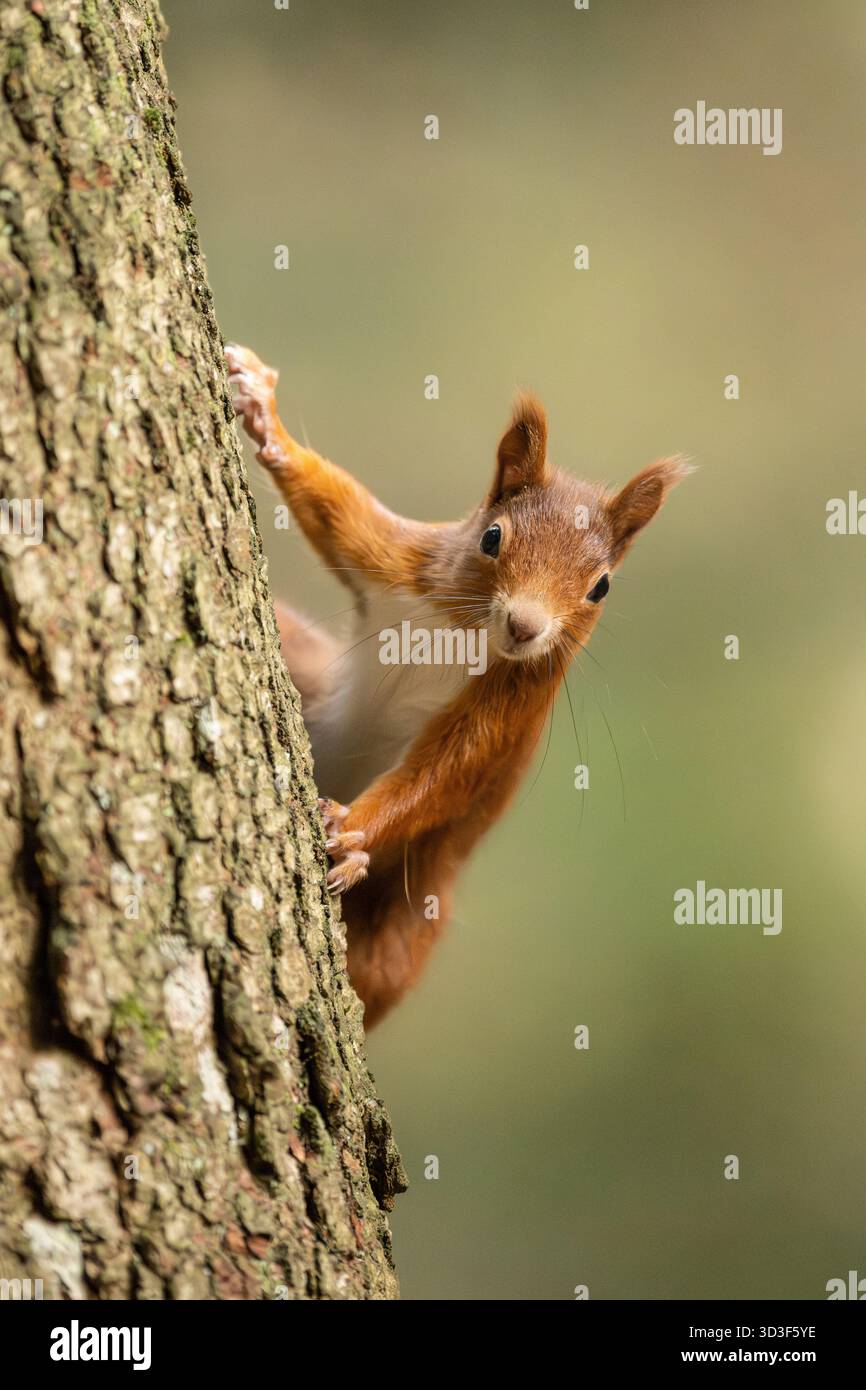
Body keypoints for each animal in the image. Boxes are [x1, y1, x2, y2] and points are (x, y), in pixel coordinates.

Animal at [226, 344, 689, 1027]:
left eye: (601, 586)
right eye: (491, 537)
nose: (525, 626)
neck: (468, 631)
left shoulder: (513, 698)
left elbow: (444, 773)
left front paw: (351, 828)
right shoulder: (404, 563)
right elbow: (338, 510)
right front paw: (265, 413)